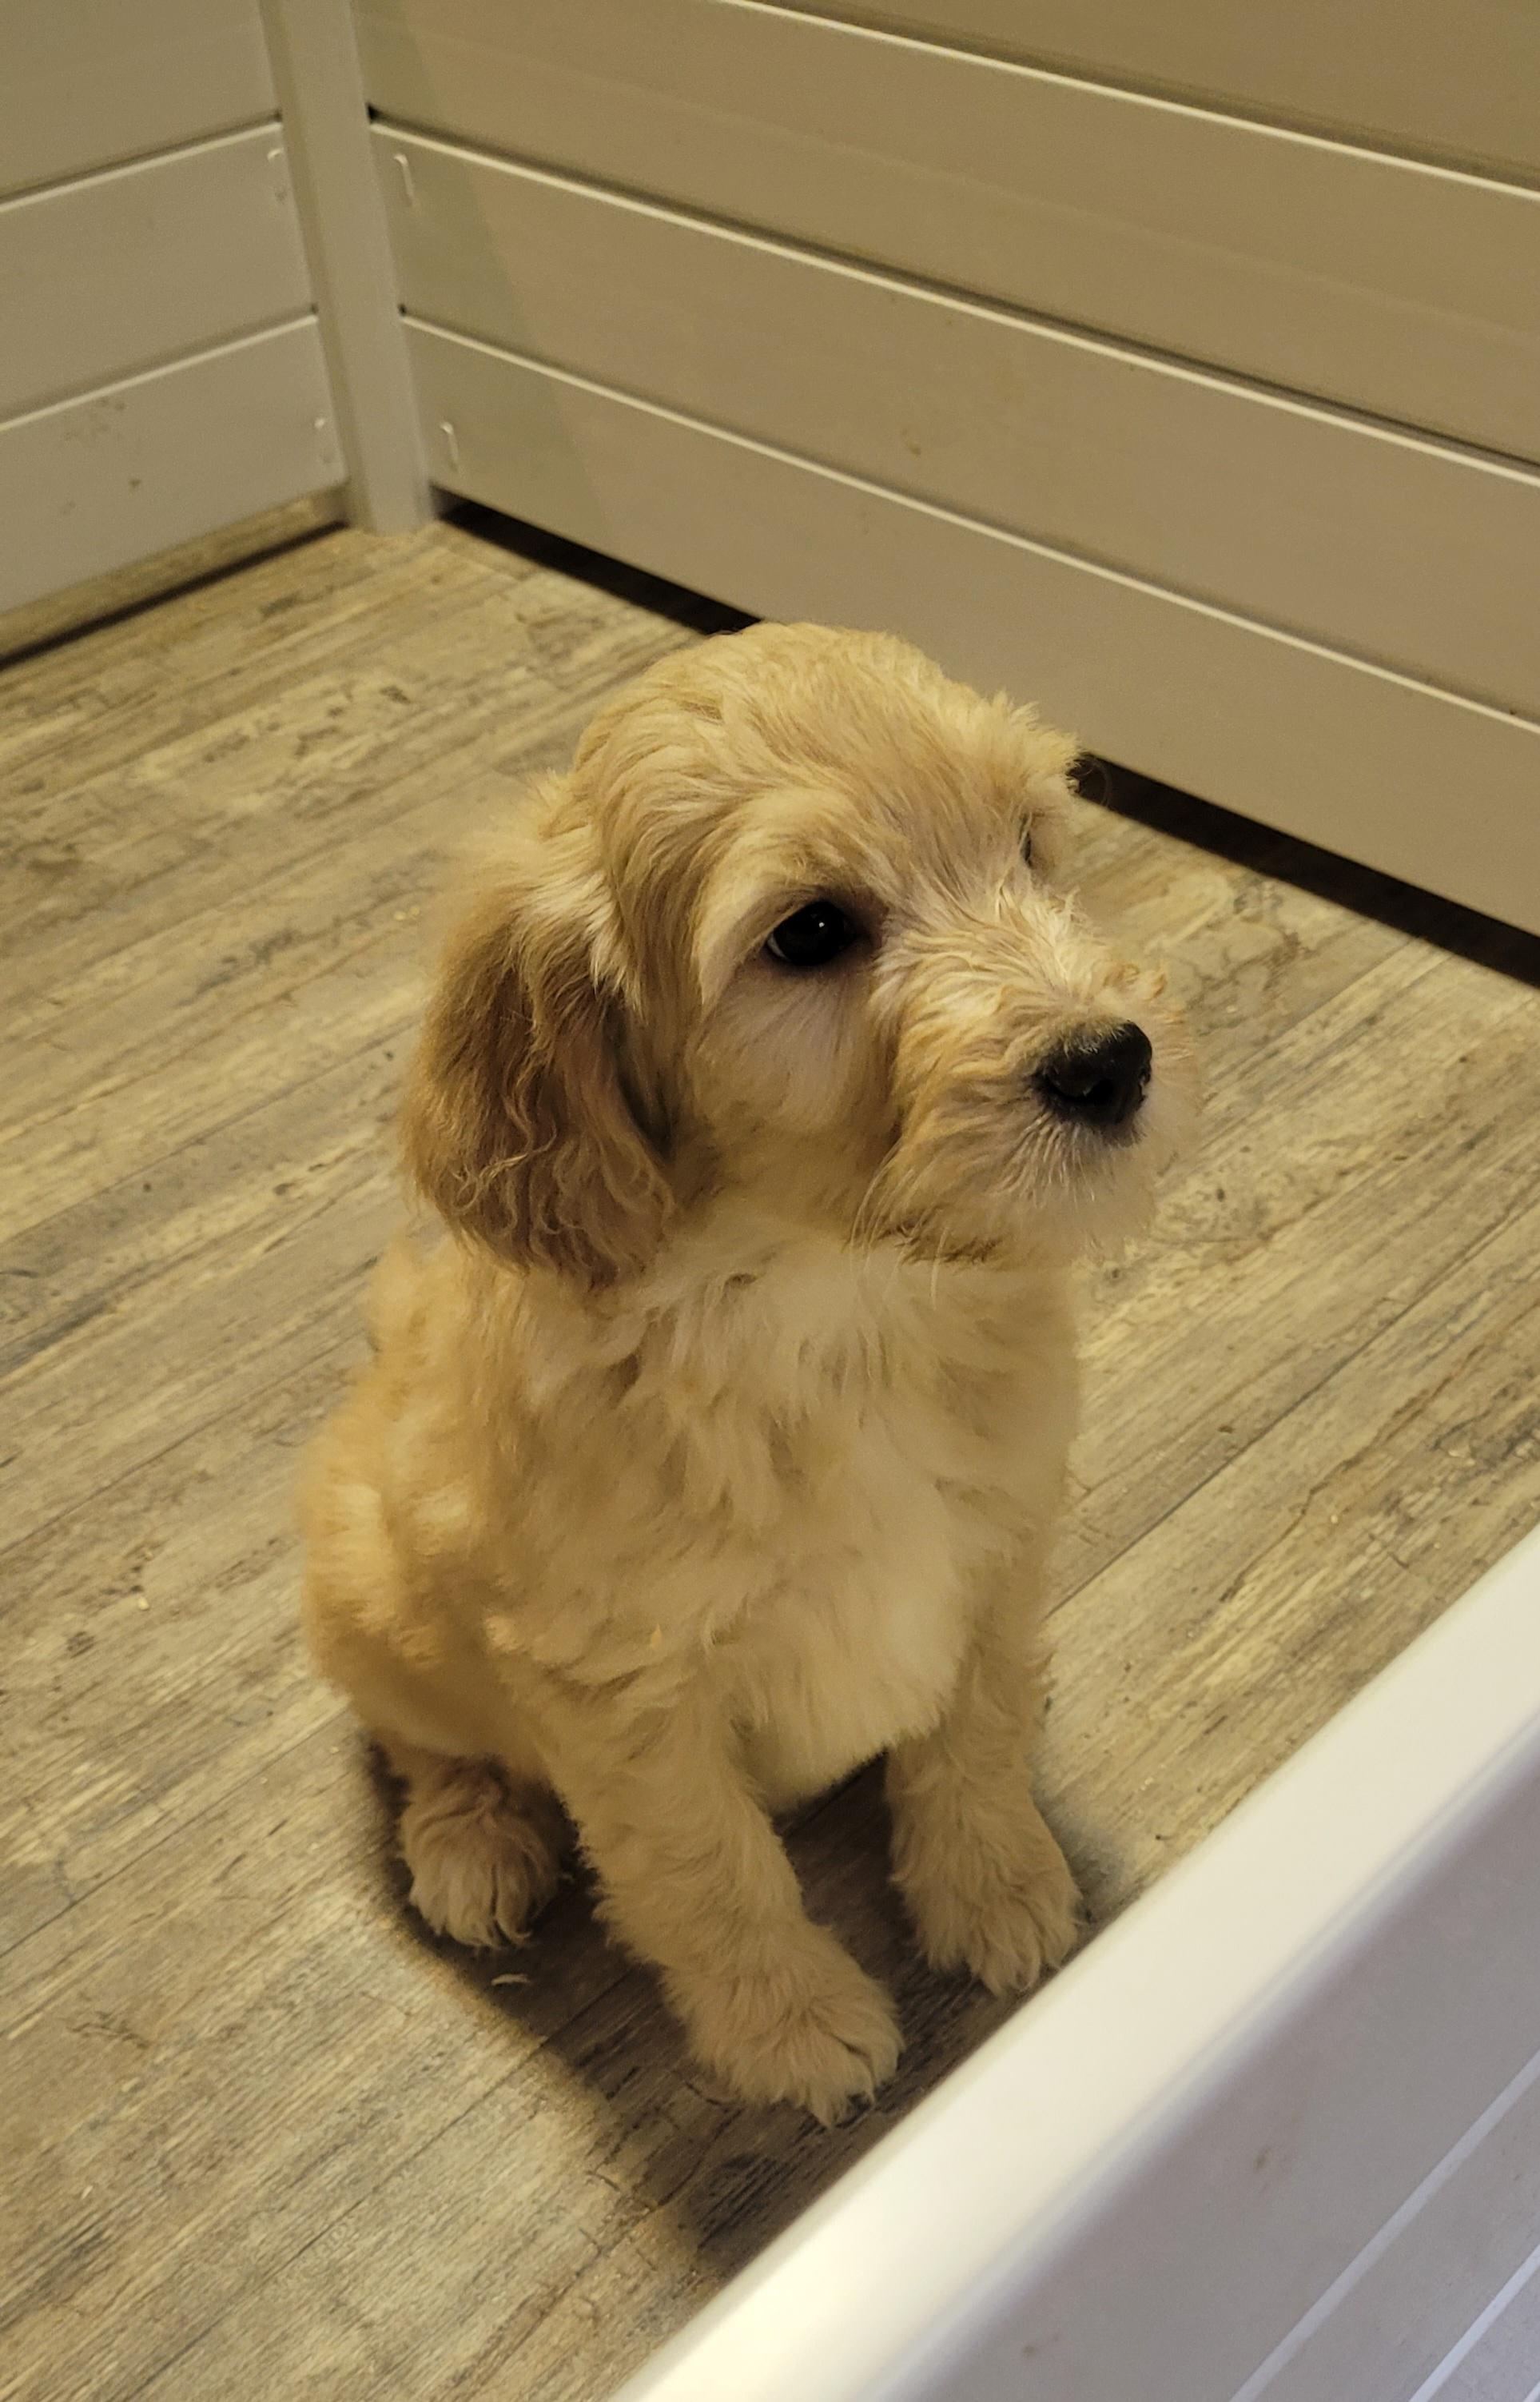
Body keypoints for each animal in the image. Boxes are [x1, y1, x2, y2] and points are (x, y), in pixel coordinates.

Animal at [300, 624, 1192, 2123]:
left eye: (1026, 844)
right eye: (809, 934)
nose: (1107, 1062)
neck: (833, 1299)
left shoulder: (1001, 1533)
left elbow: (969, 1730)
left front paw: (995, 1882)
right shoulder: (621, 1693)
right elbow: (707, 1871)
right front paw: (790, 2026)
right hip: (368, 1591)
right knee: (422, 1741)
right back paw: (473, 1838)